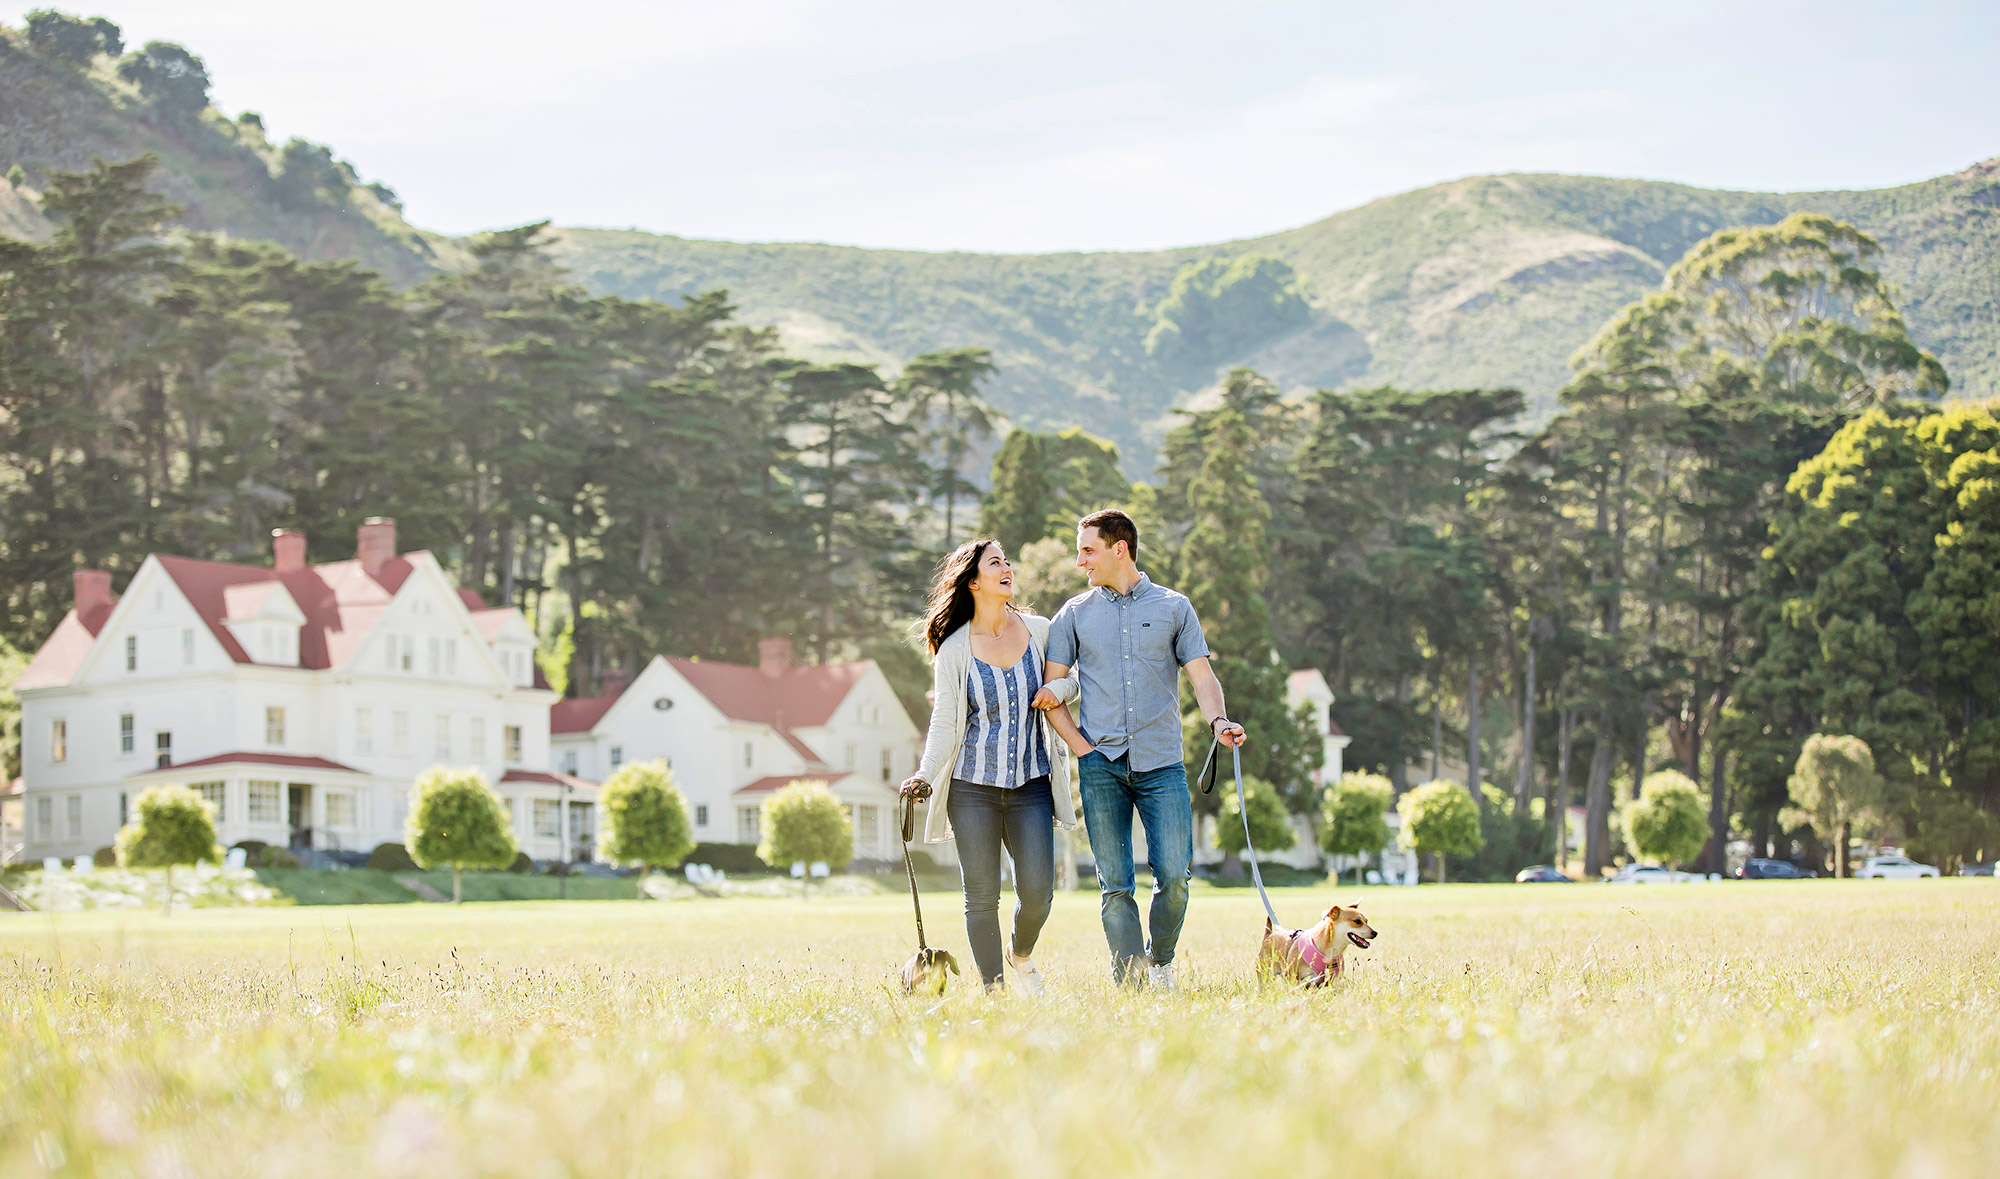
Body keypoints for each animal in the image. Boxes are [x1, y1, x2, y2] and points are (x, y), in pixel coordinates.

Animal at [1256, 907, 1384, 987]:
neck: (1330, 950)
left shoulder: (1331, 980)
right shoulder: (1295, 978)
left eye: (1366, 921)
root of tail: (1268, 936)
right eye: (1357, 921)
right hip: (1264, 974)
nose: (1375, 933)